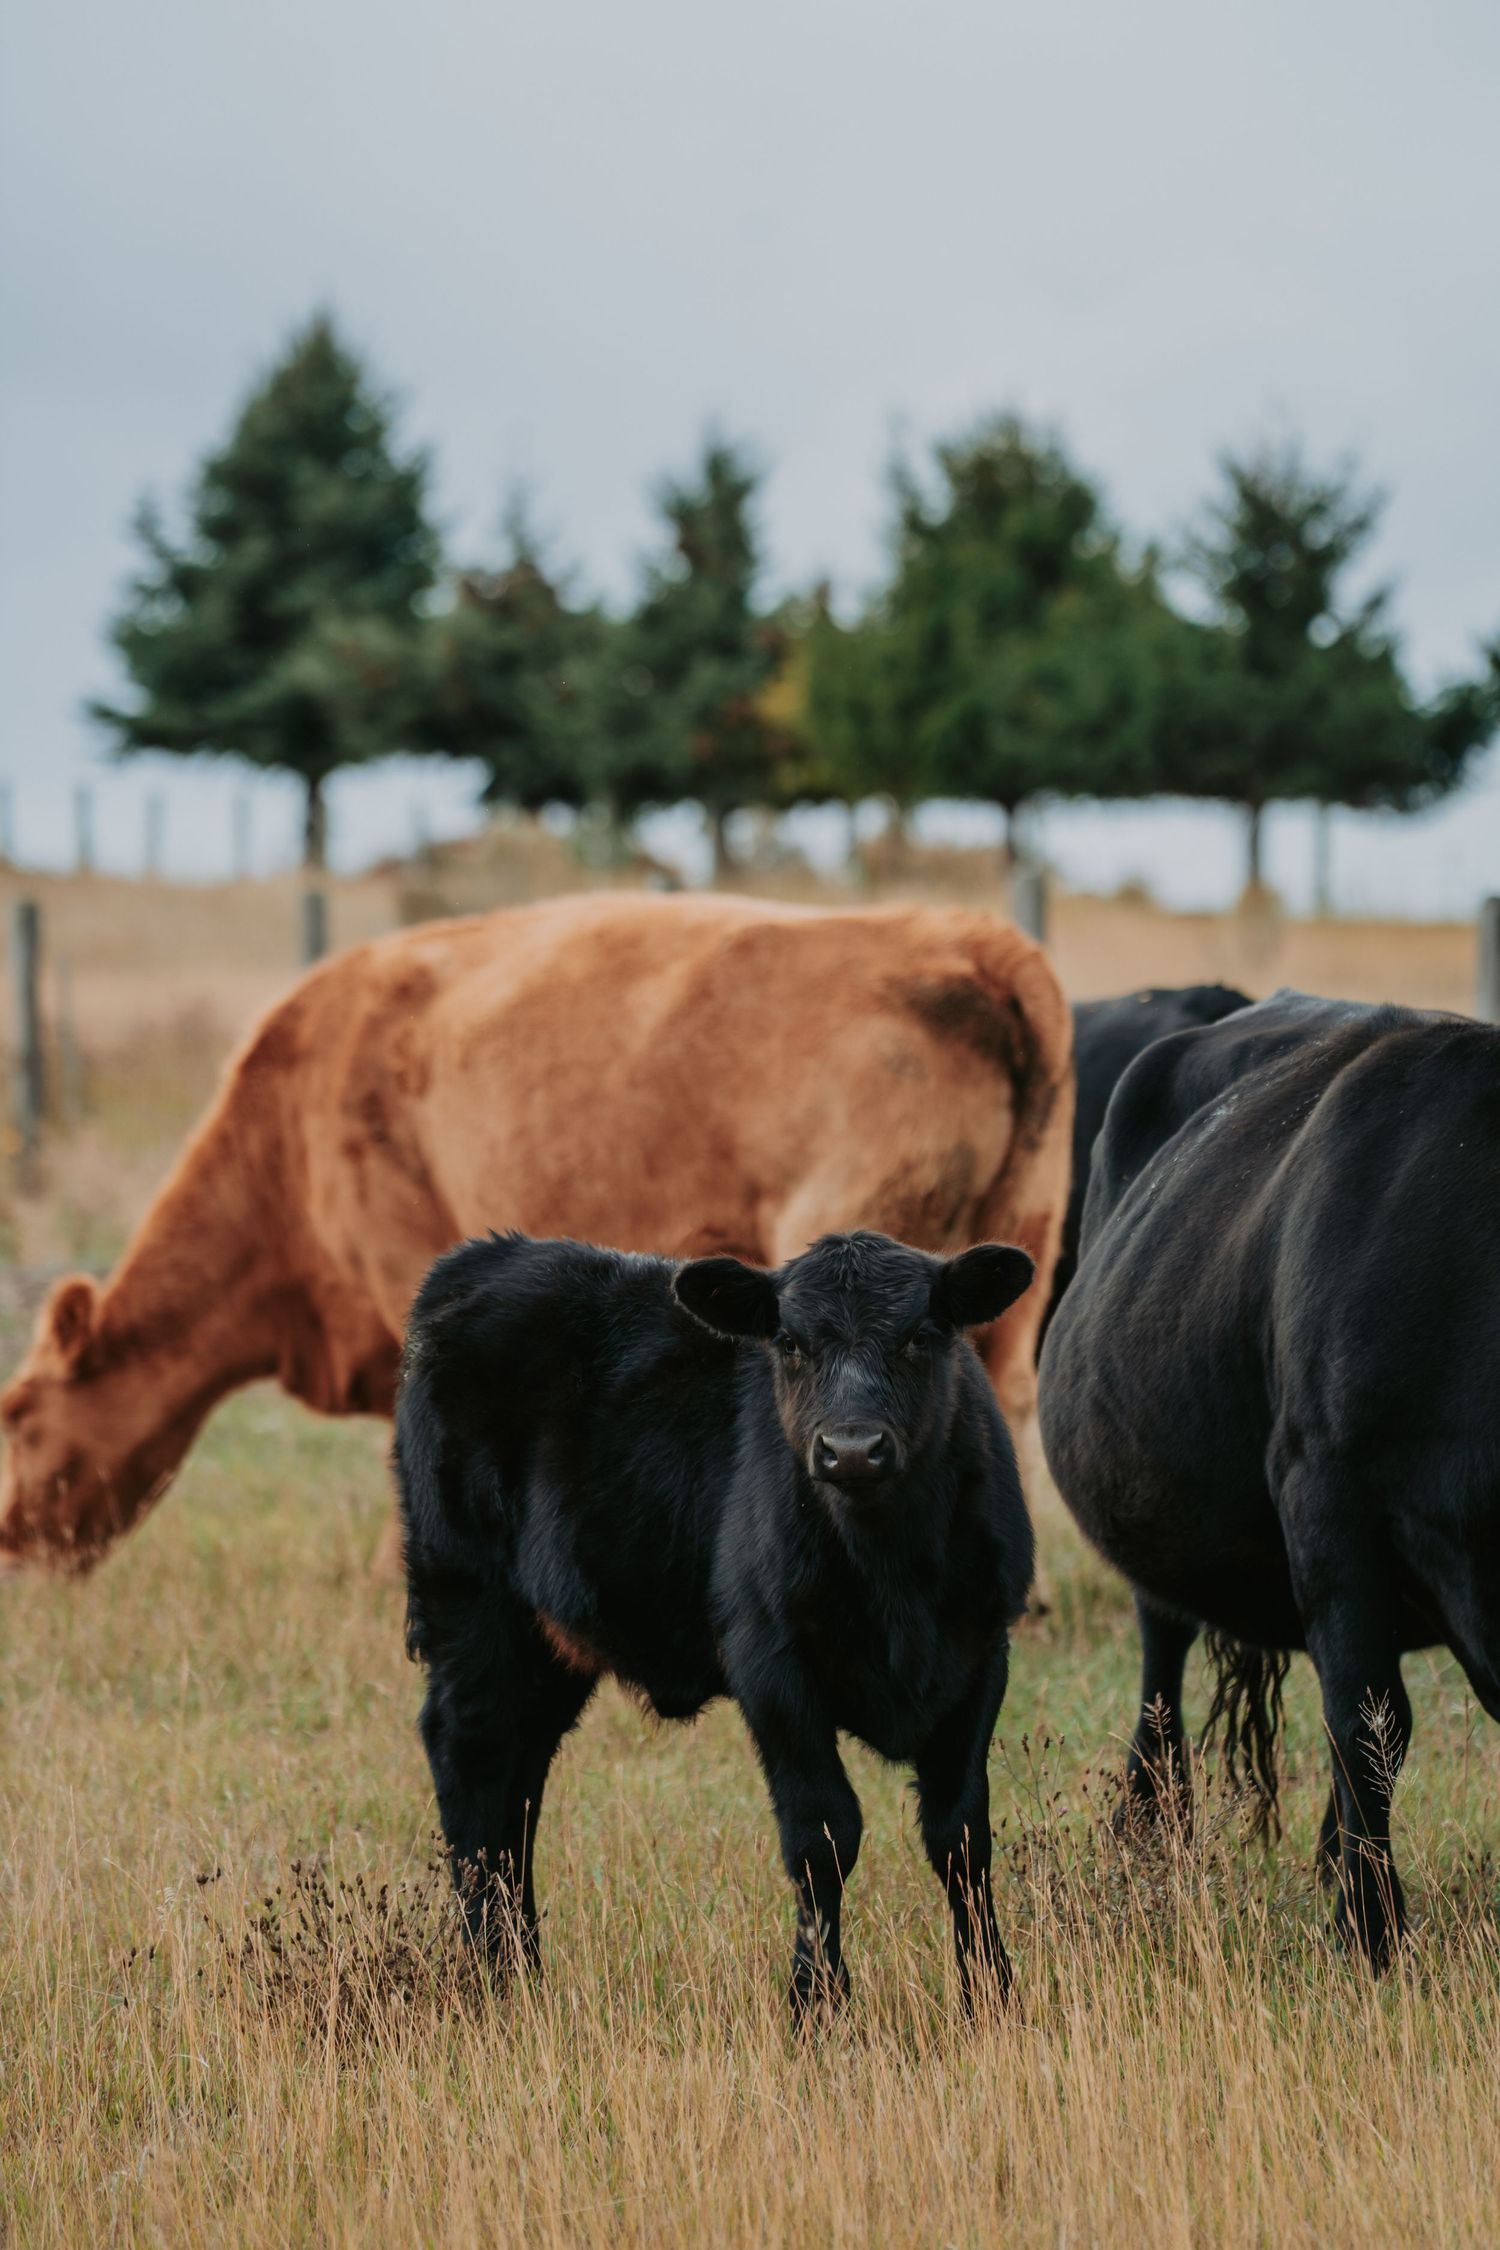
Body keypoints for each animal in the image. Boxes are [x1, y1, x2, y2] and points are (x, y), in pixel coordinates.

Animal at [397, 1227, 1036, 2017]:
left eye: (920, 1336)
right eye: (789, 1343)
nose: (853, 1449)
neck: (892, 1573)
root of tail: (489, 1255)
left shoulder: (981, 1654)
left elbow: (961, 1835)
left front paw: (992, 1993)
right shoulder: (771, 1666)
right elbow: (823, 1834)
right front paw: (817, 2005)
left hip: (544, 1649)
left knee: (517, 1779)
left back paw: (523, 1968)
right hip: (470, 1605)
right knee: (472, 1761)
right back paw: (493, 1976)